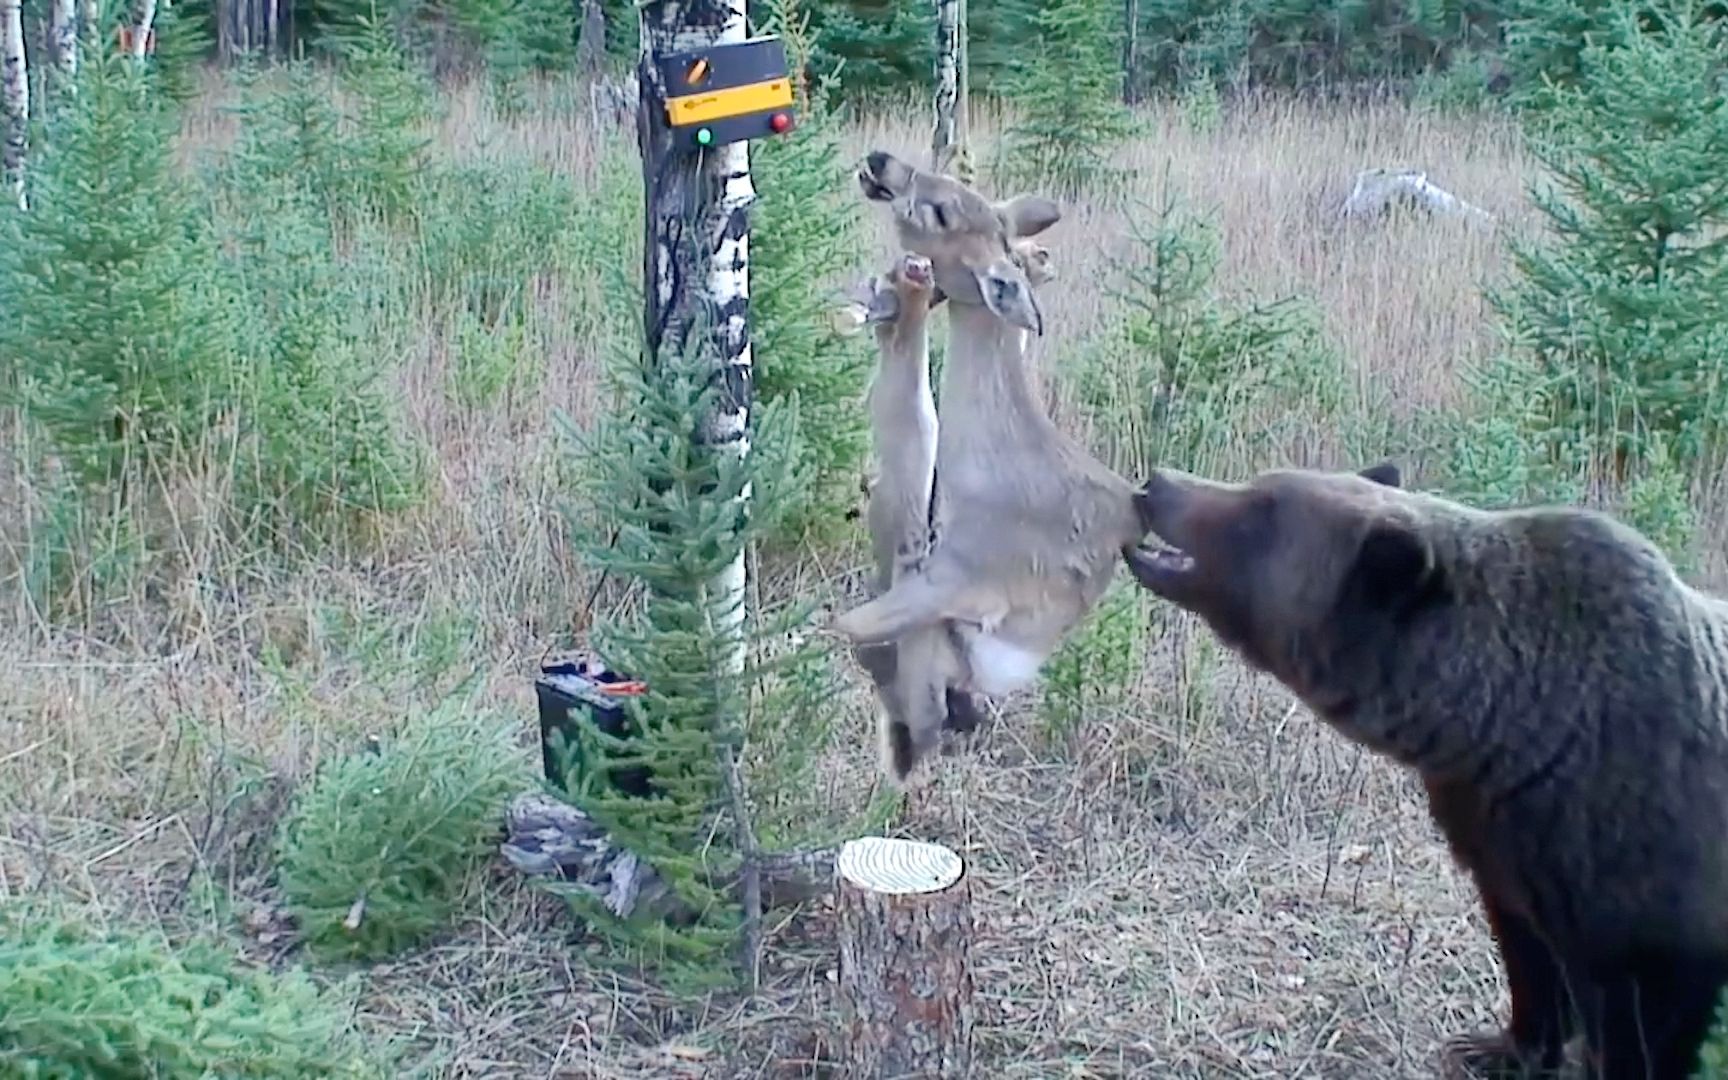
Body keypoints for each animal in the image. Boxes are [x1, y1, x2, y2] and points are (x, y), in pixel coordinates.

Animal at [1119, 459, 1728, 1071]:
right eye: (1262, 484)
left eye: (1261, 508)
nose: (1159, 483)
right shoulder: (1504, 846)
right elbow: (1530, 958)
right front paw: (1500, 1047)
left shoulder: (1652, 879)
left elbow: (1645, 1024)